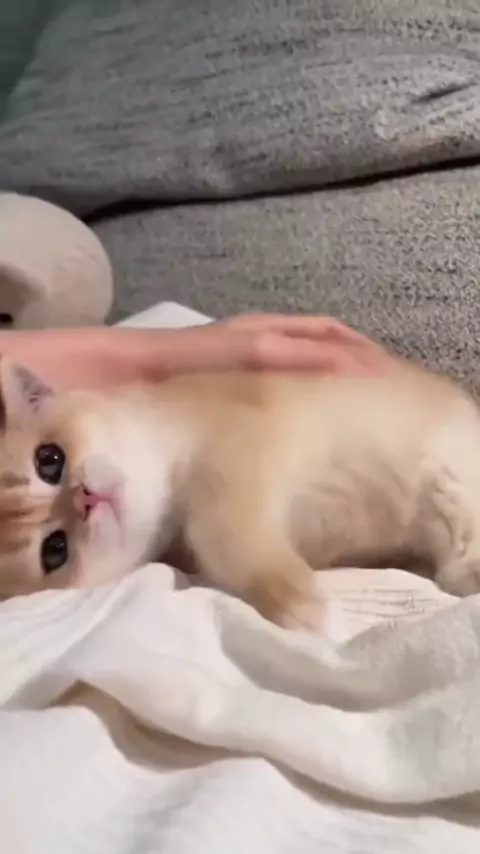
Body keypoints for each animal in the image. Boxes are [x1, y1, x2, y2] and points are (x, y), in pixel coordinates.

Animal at [0, 353, 479, 629]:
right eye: (55, 550)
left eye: (50, 460)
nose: (85, 497)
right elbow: (221, 543)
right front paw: (296, 598)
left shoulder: (234, 459)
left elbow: (223, 530)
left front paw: (294, 597)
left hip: (449, 474)